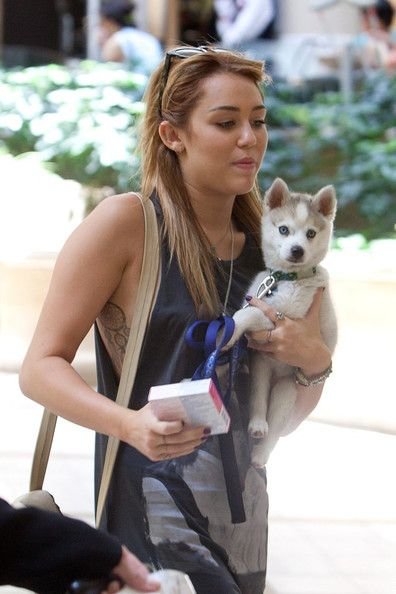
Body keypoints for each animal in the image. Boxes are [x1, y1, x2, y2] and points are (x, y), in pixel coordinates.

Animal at [229, 178, 338, 464]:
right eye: (284, 229)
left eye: (311, 233)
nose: (297, 250)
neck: (286, 278)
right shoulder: (256, 299)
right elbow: (247, 310)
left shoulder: (288, 317)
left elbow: (248, 314)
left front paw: (230, 329)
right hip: (260, 371)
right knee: (258, 403)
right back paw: (257, 424)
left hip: (286, 391)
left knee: (275, 431)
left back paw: (260, 453)